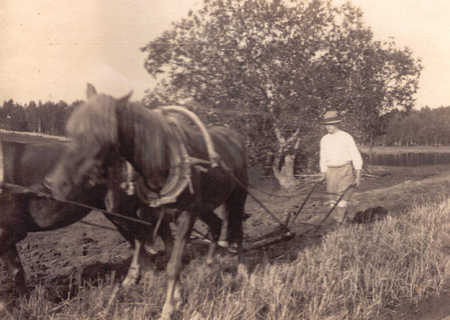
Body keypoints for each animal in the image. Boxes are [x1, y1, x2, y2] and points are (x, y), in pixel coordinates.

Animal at [47, 83, 248, 320]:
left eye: (102, 137)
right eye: (70, 130)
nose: (54, 184)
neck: (163, 162)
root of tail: (234, 136)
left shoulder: (186, 214)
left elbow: (174, 264)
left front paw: (168, 308)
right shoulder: (156, 215)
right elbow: (167, 253)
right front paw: (178, 297)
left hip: (238, 196)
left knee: (237, 231)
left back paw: (242, 271)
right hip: (205, 205)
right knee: (217, 225)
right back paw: (209, 267)